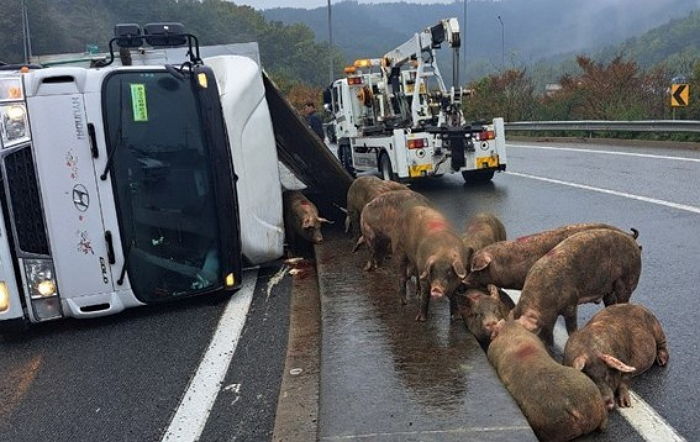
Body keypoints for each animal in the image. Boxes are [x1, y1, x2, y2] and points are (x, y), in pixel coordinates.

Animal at [512, 230, 644, 348]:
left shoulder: (572, 302)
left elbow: (572, 328)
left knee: (624, 299)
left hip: (628, 279)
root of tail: (633, 242)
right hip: (609, 289)